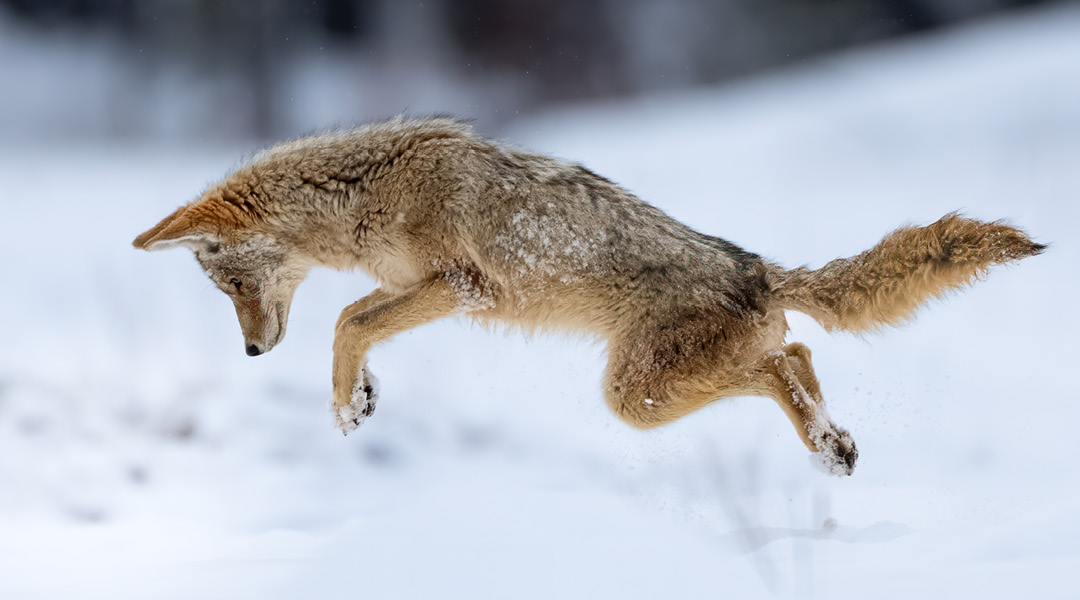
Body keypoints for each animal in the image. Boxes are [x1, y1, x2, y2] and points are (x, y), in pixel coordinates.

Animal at [133, 116, 1044, 476]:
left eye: (231, 284)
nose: (252, 351)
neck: (367, 193)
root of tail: (759, 268)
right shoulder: (422, 290)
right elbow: (356, 322)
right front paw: (359, 397)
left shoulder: (460, 284)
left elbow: (346, 319)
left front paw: (347, 406)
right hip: (644, 391)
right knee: (796, 353)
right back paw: (832, 448)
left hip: (630, 397)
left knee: (787, 357)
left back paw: (829, 444)